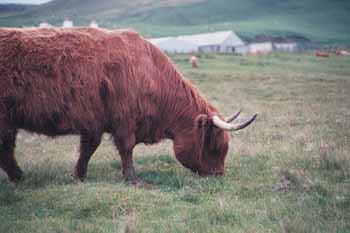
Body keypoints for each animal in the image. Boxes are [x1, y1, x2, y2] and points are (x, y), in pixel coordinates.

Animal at [0, 27, 258, 184]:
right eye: (215, 146)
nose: (219, 175)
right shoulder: (124, 121)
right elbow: (126, 148)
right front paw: (133, 179)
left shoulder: (94, 123)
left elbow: (88, 149)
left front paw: (79, 175)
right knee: (6, 149)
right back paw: (19, 177)